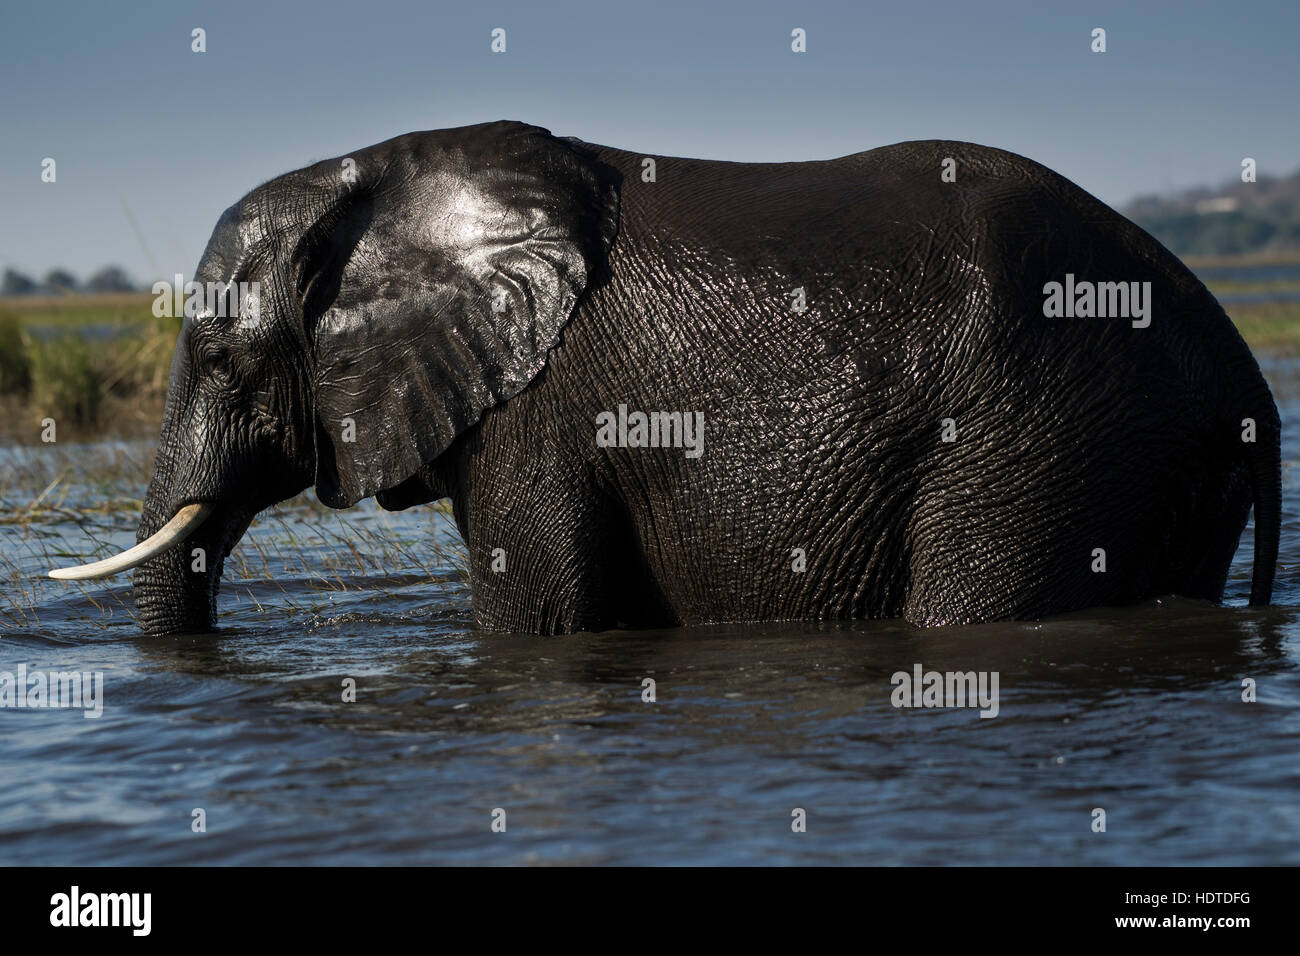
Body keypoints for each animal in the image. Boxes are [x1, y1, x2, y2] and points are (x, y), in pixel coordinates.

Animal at [48, 123, 1279, 639]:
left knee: (972, 607)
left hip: (1039, 439)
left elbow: (536, 618)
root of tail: (1249, 383)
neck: (380, 178)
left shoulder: (541, 412)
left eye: (221, 359)